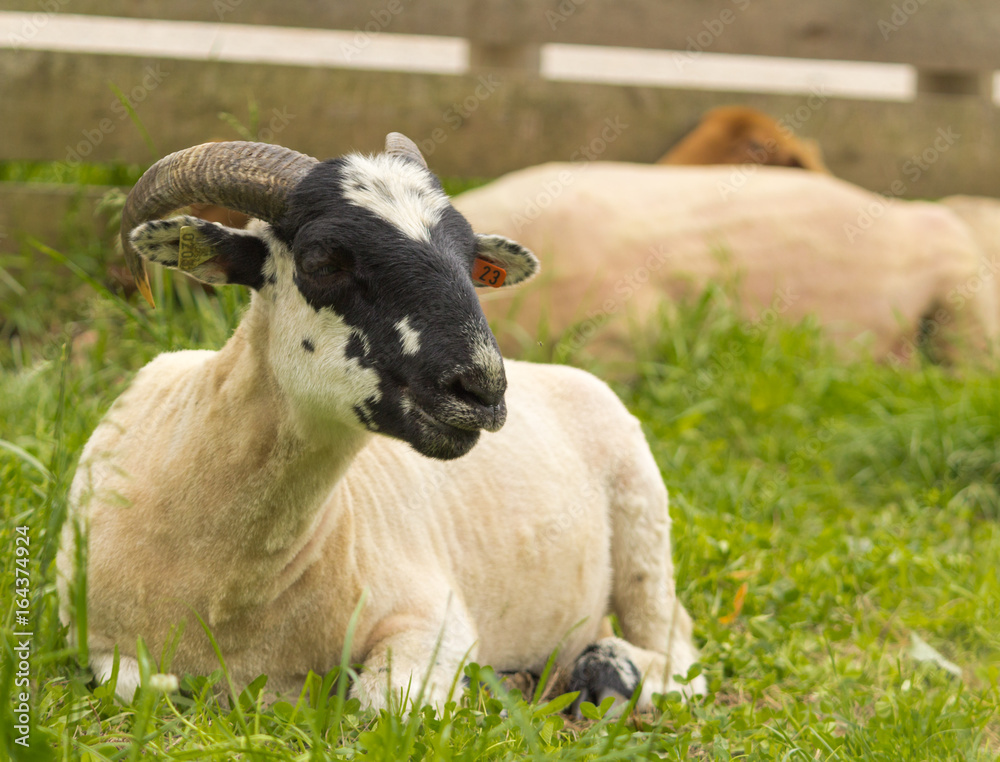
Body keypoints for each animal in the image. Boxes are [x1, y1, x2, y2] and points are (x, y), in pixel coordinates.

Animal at [57, 135, 705, 712]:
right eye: (321, 260)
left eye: (471, 262)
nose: (482, 389)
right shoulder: (93, 640)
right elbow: (137, 687)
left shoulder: (435, 620)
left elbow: (380, 705)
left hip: (645, 527)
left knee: (680, 654)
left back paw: (607, 673)